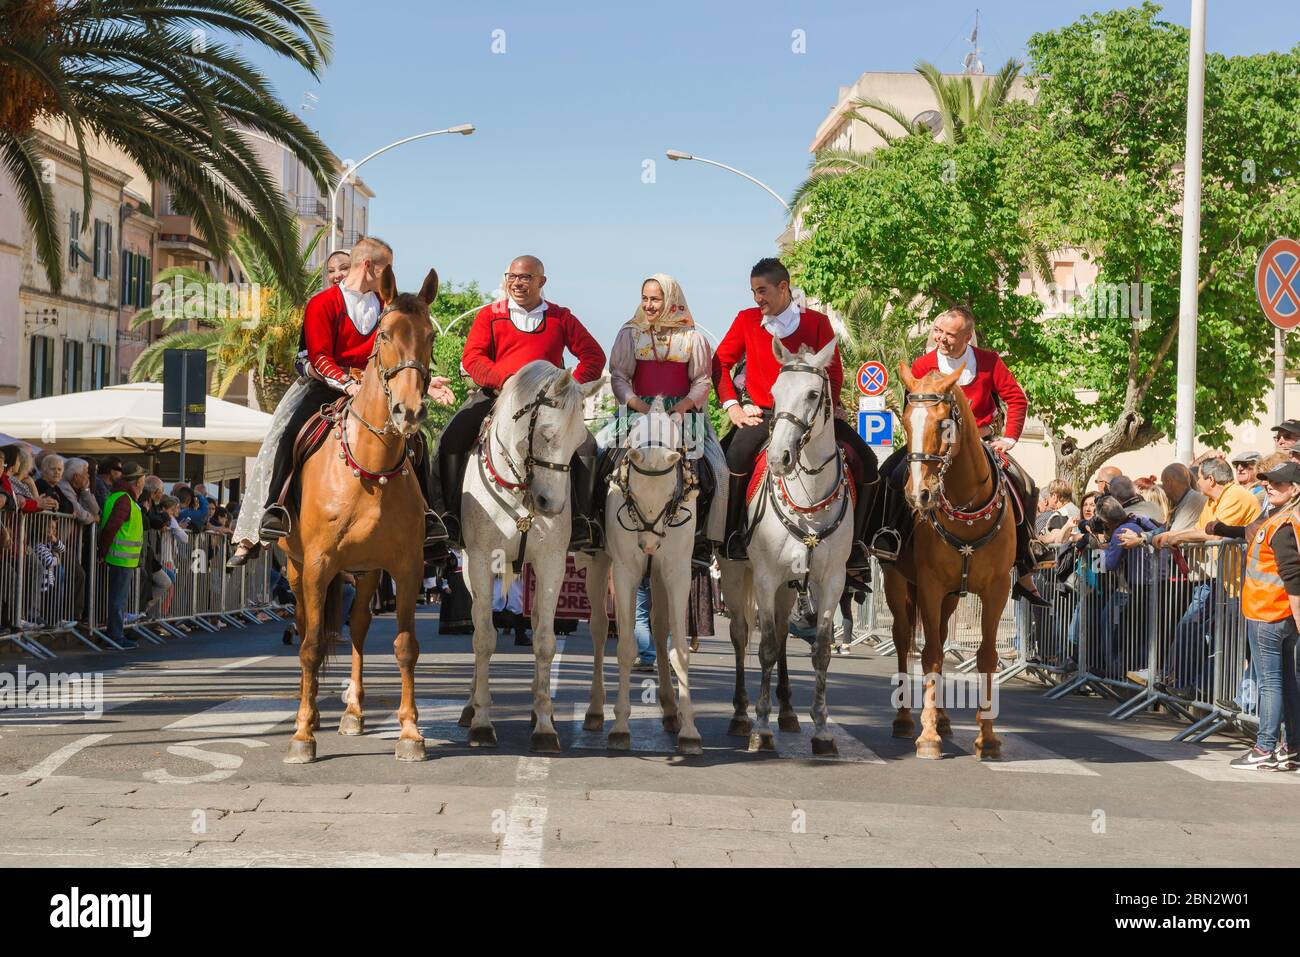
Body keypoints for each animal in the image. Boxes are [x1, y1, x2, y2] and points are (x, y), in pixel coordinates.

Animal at [279, 267, 441, 764]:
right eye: (385, 334)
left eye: (430, 336)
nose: (409, 411)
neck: (370, 466)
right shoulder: (316, 565)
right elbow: (311, 646)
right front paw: (303, 734)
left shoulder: (406, 568)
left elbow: (405, 646)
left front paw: (410, 732)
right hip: (296, 568)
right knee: (305, 629)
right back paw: (309, 712)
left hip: (367, 571)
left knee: (357, 627)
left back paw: (352, 710)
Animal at [457, 361, 603, 748]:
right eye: (548, 435)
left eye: (578, 442)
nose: (551, 505)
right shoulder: (481, 560)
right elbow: (483, 638)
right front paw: (482, 721)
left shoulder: (552, 563)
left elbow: (544, 641)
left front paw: (545, 726)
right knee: (477, 621)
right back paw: (469, 706)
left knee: (536, 621)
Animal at [577, 397, 702, 754]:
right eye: (631, 492)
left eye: (671, 495)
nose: (648, 543)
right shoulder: (625, 571)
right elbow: (624, 647)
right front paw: (620, 726)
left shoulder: (676, 571)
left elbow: (680, 651)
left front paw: (689, 730)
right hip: (599, 567)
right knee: (599, 630)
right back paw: (595, 709)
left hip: (657, 575)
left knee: (660, 632)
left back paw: (671, 711)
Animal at [717, 335, 847, 754]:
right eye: (774, 392)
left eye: (812, 393)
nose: (779, 458)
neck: (809, 504)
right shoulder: (764, 576)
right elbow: (766, 647)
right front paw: (760, 727)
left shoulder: (831, 581)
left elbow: (820, 649)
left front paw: (821, 729)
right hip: (734, 572)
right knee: (741, 633)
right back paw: (741, 714)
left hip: (791, 585)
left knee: (786, 634)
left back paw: (789, 712)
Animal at [889, 361, 1008, 759]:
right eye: (906, 421)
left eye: (943, 424)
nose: (918, 495)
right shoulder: (929, 585)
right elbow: (930, 655)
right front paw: (927, 737)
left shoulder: (997, 590)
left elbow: (985, 657)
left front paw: (987, 738)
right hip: (899, 585)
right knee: (903, 640)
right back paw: (905, 719)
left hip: (953, 598)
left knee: (941, 636)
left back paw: (941, 717)